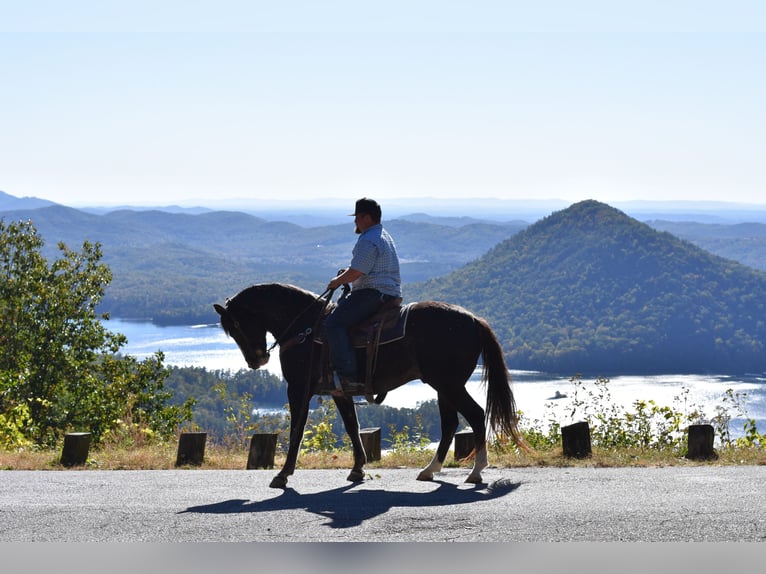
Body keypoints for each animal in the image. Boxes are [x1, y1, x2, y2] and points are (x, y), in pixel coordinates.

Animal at [214, 282, 527, 488]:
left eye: (236, 326)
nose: (256, 360)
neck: (307, 328)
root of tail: (474, 320)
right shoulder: (339, 391)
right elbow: (352, 427)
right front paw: (357, 469)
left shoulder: (298, 389)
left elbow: (297, 430)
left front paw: (283, 474)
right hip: (444, 387)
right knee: (450, 422)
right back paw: (430, 469)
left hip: (449, 384)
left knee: (474, 415)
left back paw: (476, 471)